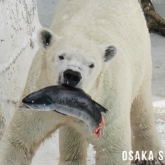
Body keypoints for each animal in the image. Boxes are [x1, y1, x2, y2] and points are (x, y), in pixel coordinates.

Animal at [0, 0, 164, 165]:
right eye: (61, 56)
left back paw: (152, 156)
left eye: (91, 65)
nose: (72, 75)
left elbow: (112, 148)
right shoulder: (37, 89)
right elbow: (19, 141)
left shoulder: (108, 100)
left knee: (141, 105)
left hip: (142, 55)